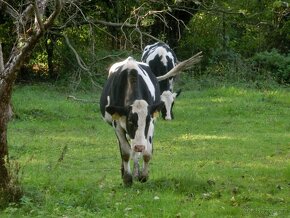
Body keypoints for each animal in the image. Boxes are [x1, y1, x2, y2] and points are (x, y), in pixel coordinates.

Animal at [99, 56, 163, 186]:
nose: (139, 146)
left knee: (135, 152)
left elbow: (147, 152)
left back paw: (136, 172)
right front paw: (127, 178)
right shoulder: (117, 125)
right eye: (130, 121)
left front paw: (143, 175)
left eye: (147, 121)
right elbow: (125, 152)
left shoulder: (151, 125)